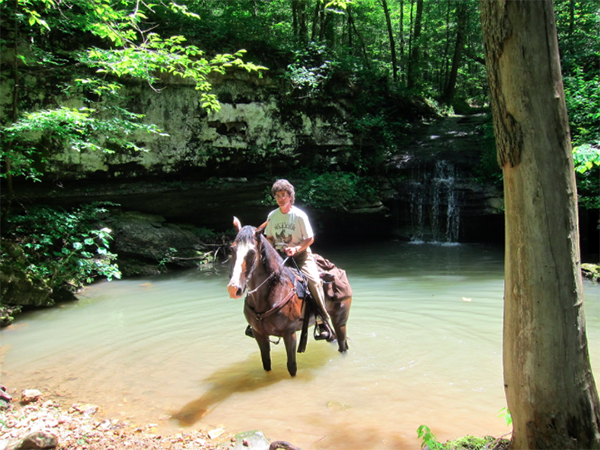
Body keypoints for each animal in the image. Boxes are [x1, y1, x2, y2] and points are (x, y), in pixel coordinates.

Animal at [229, 217, 352, 376]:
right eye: (232, 249)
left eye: (251, 252)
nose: (233, 288)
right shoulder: (259, 334)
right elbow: (266, 363)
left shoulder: (289, 333)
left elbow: (291, 366)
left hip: (340, 320)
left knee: (342, 345)